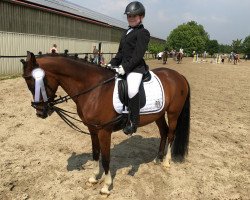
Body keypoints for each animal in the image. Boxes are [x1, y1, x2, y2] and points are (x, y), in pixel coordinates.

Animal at [21, 51, 190, 195]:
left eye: (36, 81)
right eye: (28, 83)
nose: (40, 112)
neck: (94, 90)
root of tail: (178, 75)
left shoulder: (104, 131)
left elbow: (106, 158)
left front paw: (106, 186)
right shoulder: (93, 129)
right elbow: (96, 153)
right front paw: (93, 178)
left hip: (173, 113)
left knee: (171, 134)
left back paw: (166, 162)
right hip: (159, 114)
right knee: (164, 132)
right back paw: (157, 158)